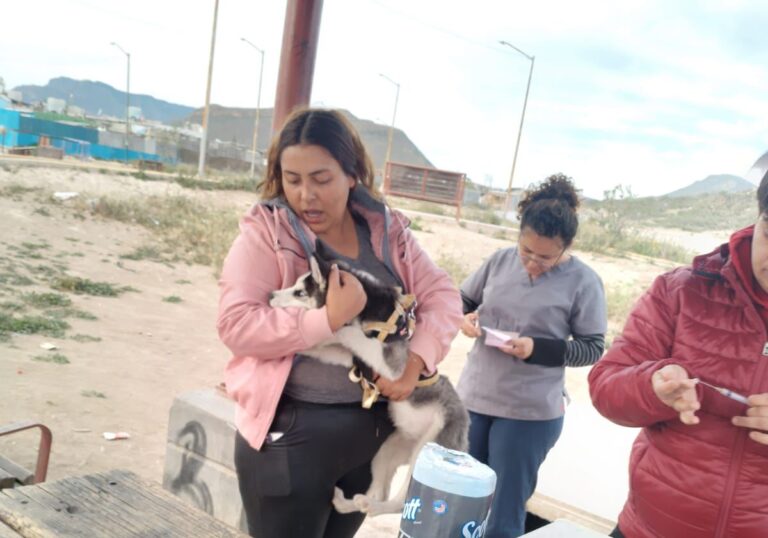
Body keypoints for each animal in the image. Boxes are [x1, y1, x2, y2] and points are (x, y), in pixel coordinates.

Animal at [270, 244, 474, 516]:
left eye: (299, 292)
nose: (270, 295)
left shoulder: (392, 364)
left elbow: (346, 332)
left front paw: (329, 327)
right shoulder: (349, 357)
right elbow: (328, 345)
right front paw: (300, 344)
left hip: (427, 448)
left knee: (400, 503)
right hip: (387, 451)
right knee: (379, 492)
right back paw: (354, 502)